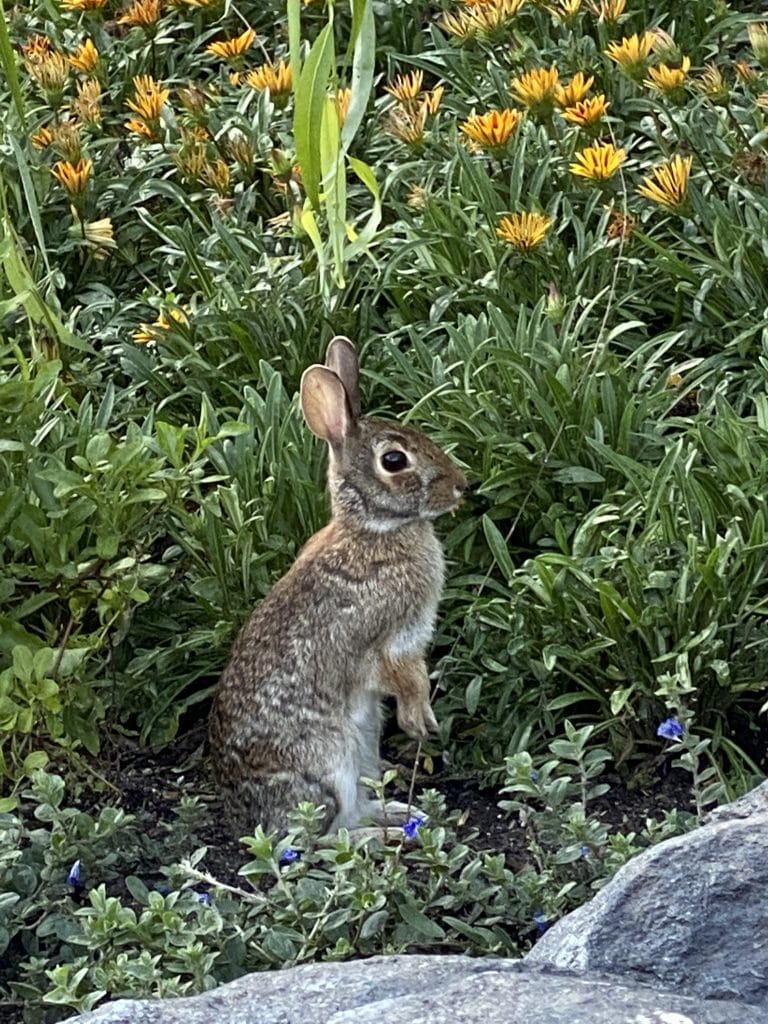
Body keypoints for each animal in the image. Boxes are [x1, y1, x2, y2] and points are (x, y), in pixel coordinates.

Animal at [207, 339, 466, 835]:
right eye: (394, 460)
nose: (461, 486)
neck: (373, 531)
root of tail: (246, 822)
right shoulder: (387, 642)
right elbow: (404, 679)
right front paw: (421, 721)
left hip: (363, 744)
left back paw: (401, 816)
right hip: (330, 760)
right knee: (319, 838)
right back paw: (380, 837)